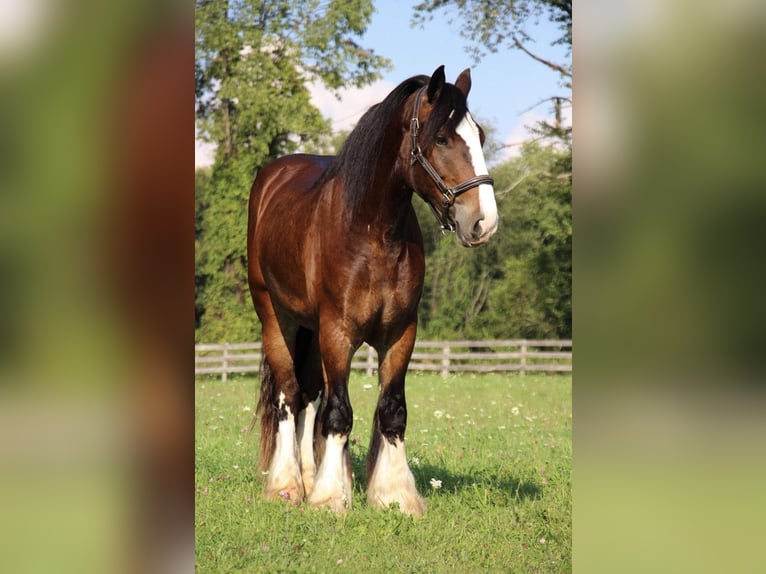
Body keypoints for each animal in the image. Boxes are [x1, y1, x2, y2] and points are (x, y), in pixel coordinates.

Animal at [246, 65, 498, 516]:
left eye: (480, 135)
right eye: (441, 138)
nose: (483, 222)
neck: (372, 232)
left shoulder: (400, 333)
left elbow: (391, 410)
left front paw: (393, 494)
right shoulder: (337, 332)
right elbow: (339, 413)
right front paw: (331, 497)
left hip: (311, 330)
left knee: (309, 394)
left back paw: (308, 476)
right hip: (277, 320)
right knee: (289, 395)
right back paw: (287, 486)